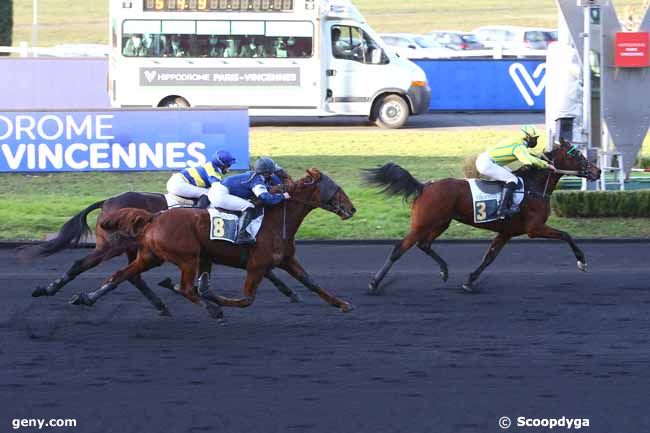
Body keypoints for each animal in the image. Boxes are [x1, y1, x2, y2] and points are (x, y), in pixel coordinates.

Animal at [68, 170, 356, 318]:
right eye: (336, 188)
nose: (352, 209)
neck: (275, 219)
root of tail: (153, 217)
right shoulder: (257, 265)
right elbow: (245, 299)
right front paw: (213, 301)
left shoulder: (287, 260)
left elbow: (312, 283)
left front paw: (342, 304)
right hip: (186, 257)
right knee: (184, 287)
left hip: (151, 256)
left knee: (121, 275)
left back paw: (86, 297)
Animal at [362, 139, 600, 294]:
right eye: (577, 154)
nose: (597, 171)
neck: (534, 187)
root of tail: (424, 186)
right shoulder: (535, 228)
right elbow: (566, 235)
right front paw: (581, 261)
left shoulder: (506, 233)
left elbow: (489, 257)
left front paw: (470, 281)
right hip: (423, 223)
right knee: (400, 248)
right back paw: (374, 283)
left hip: (441, 223)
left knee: (424, 244)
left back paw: (444, 270)